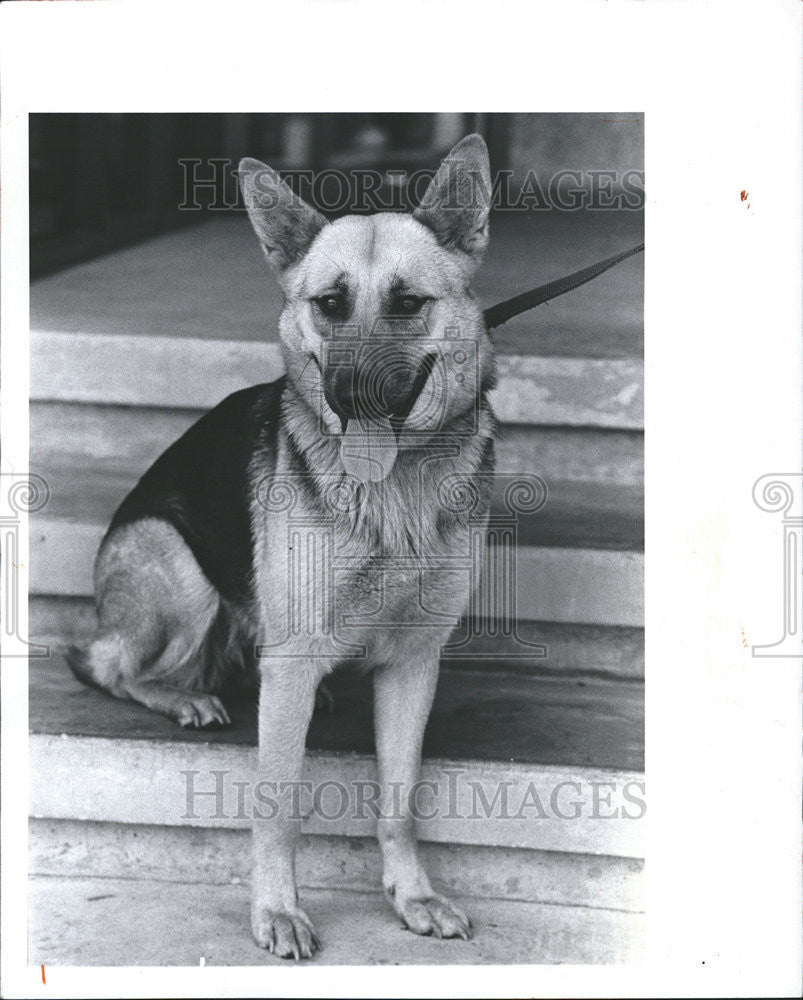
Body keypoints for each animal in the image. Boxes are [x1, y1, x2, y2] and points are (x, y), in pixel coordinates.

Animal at [67, 133, 496, 952]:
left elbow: (398, 801)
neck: (391, 490)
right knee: (106, 662)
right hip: (180, 571)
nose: (350, 397)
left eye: (408, 303)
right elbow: (278, 804)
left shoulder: (413, 662)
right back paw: (184, 697)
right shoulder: (291, 663)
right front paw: (276, 910)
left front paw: (411, 895)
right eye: (329, 304)